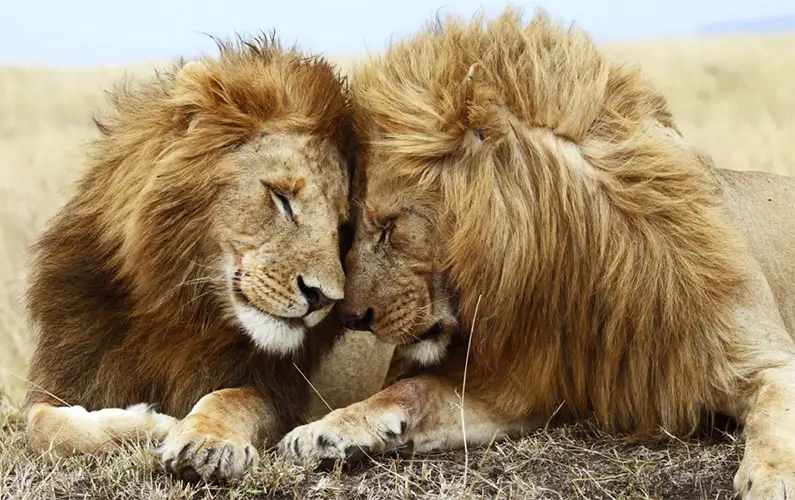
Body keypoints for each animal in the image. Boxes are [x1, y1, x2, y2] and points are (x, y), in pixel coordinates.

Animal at [23, 34, 393, 482]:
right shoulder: (68, 376)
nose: (324, 297)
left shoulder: (279, 394)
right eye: (281, 197)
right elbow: (41, 426)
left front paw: (205, 442)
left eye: (342, 227)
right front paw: (149, 424)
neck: (177, 309)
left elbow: (230, 398)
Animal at [278, 10, 795, 499]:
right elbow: (414, 389)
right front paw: (324, 431)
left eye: (389, 226)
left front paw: (773, 479)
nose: (350, 317)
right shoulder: (520, 386)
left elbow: (777, 414)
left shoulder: (766, 358)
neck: (576, 265)